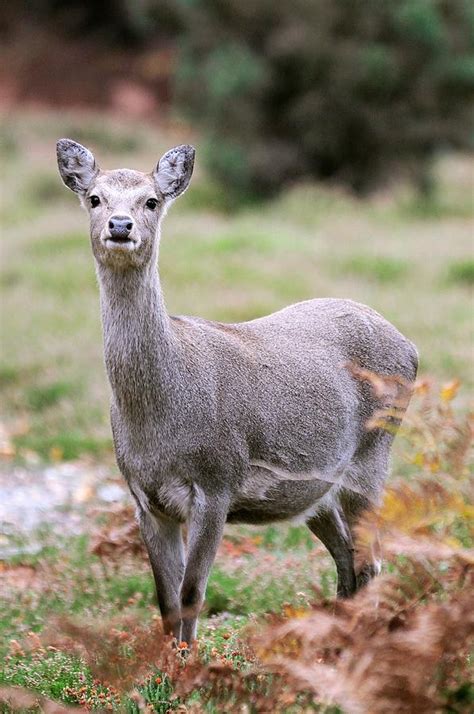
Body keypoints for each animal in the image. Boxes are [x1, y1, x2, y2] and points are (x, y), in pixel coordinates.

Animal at [56, 140, 418, 644]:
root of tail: (411, 347)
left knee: (373, 560)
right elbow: (166, 601)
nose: (121, 226)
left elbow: (192, 594)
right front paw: (165, 664)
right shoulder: (144, 497)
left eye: (152, 201)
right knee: (348, 561)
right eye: (94, 198)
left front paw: (189, 665)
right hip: (314, 491)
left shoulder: (217, 482)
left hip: (372, 457)